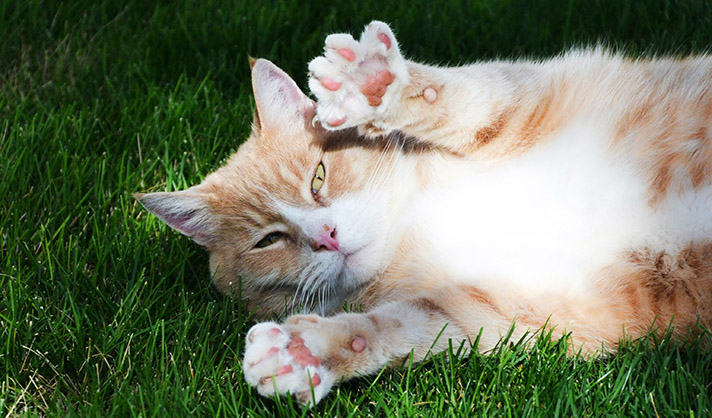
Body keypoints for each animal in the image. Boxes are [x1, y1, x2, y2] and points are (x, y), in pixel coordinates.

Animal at [136, 21, 712, 406]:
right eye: (268, 240)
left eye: (318, 177)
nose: (326, 236)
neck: (416, 220)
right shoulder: (511, 309)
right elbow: (394, 328)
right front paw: (307, 351)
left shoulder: (522, 99)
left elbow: (462, 98)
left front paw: (373, 86)